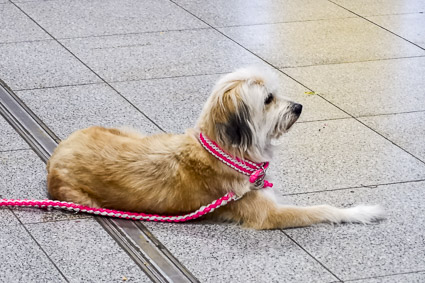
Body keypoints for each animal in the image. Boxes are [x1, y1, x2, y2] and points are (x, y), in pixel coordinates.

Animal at [46, 67, 384, 231]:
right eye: (268, 99)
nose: (299, 107)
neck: (227, 151)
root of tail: (54, 157)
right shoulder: (267, 214)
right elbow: (321, 209)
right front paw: (361, 211)